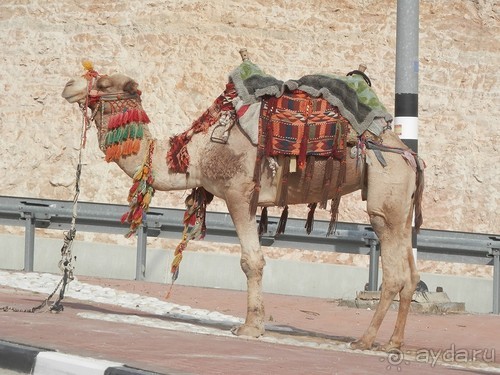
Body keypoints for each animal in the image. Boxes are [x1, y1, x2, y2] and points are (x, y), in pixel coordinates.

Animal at [60, 56, 424, 352]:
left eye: (103, 84)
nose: (68, 86)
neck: (196, 153)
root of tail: (409, 155)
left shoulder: (238, 192)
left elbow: (252, 261)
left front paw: (250, 327)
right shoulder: (248, 198)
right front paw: (255, 323)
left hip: (385, 194)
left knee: (393, 272)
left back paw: (365, 340)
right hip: (402, 205)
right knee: (410, 272)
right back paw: (393, 342)